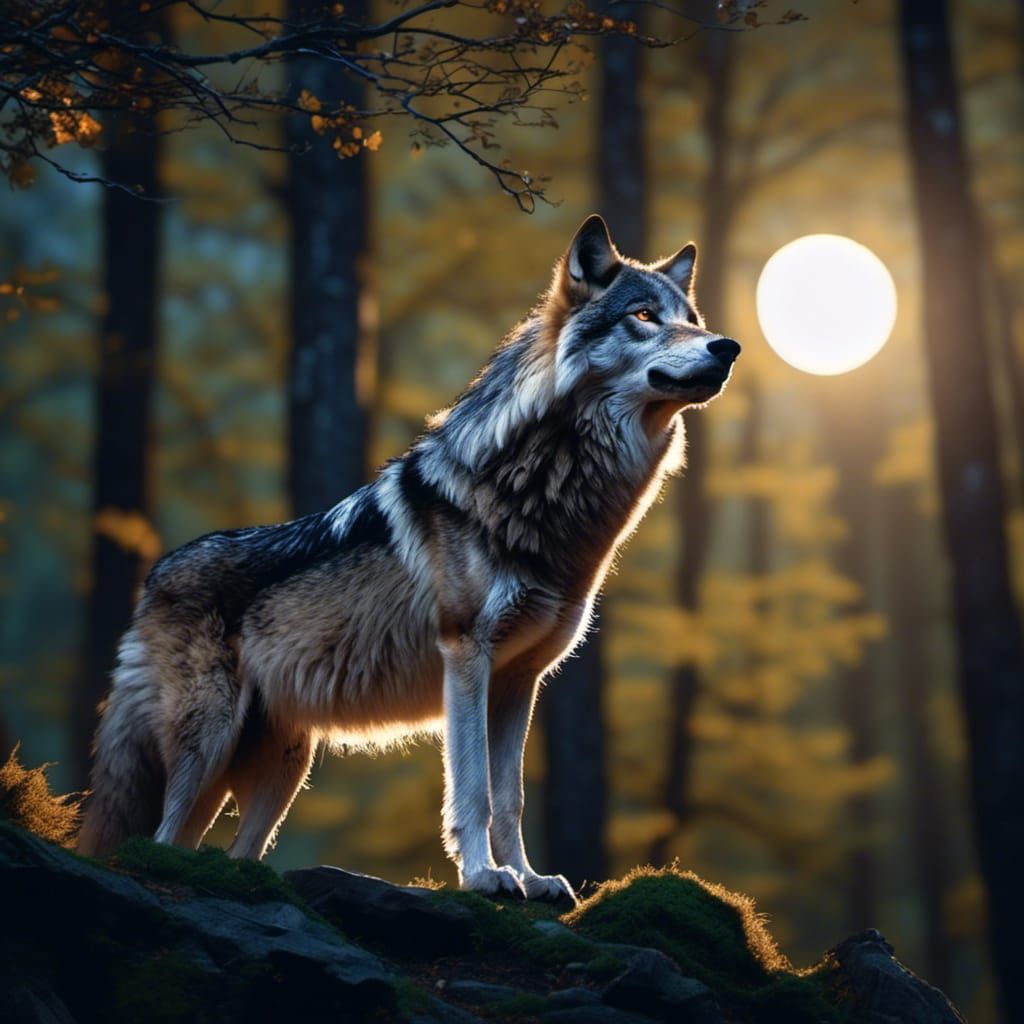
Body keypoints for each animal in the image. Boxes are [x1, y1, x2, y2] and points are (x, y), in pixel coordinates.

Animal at [77, 215, 740, 903]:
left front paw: (531, 878)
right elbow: (474, 792)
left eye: (691, 318)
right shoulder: (466, 656)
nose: (728, 347)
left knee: (232, 849)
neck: (547, 496)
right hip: (209, 745)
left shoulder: (519, 680)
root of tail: (154, 575)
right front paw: (484, 877)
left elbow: (511, 798)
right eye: (644, 316)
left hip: (283, 766)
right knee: (156, 841)